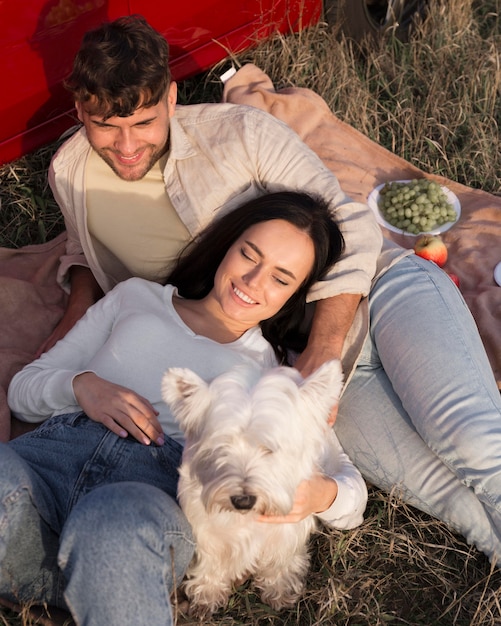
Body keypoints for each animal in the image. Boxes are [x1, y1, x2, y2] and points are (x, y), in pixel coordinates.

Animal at [162, 356, 346, 616]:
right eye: (221, 446)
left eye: (269, 449)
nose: (243, 500)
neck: (247, 520)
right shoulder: (206, 530)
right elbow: (210, 561)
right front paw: (207, 595)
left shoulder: (286, 530)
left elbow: (280, 560)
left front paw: (279, 590)